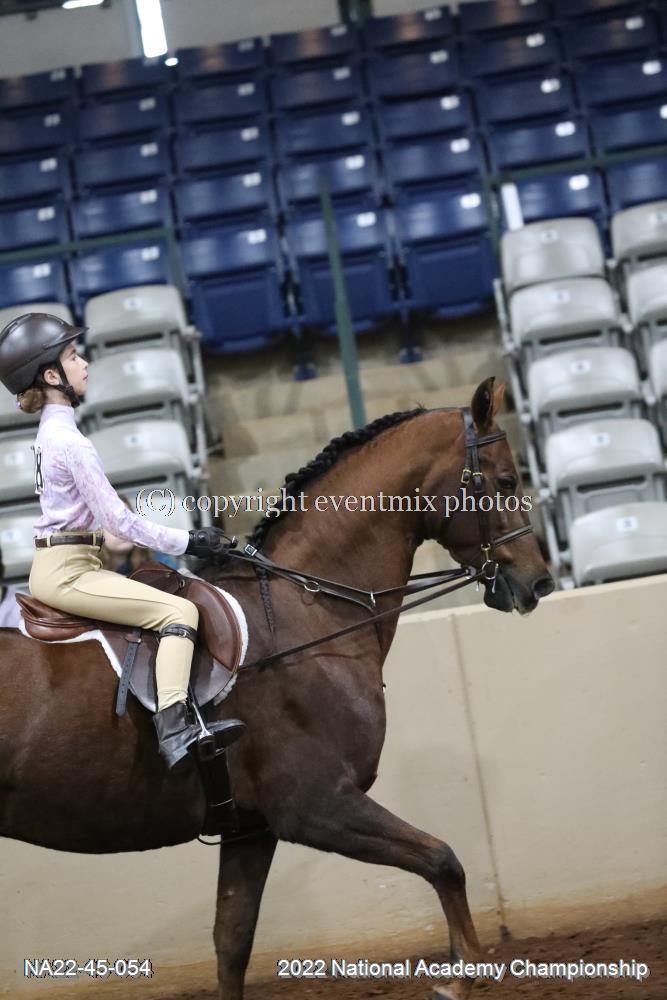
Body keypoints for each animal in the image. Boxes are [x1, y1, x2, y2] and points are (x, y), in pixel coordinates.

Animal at [0, 378, 554, 1000]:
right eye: (505, 481)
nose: (538, 582)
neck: (308, 613)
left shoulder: (251, 828)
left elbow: (232, 943)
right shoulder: (317, 805)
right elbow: (443, 859)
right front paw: (461, 976)